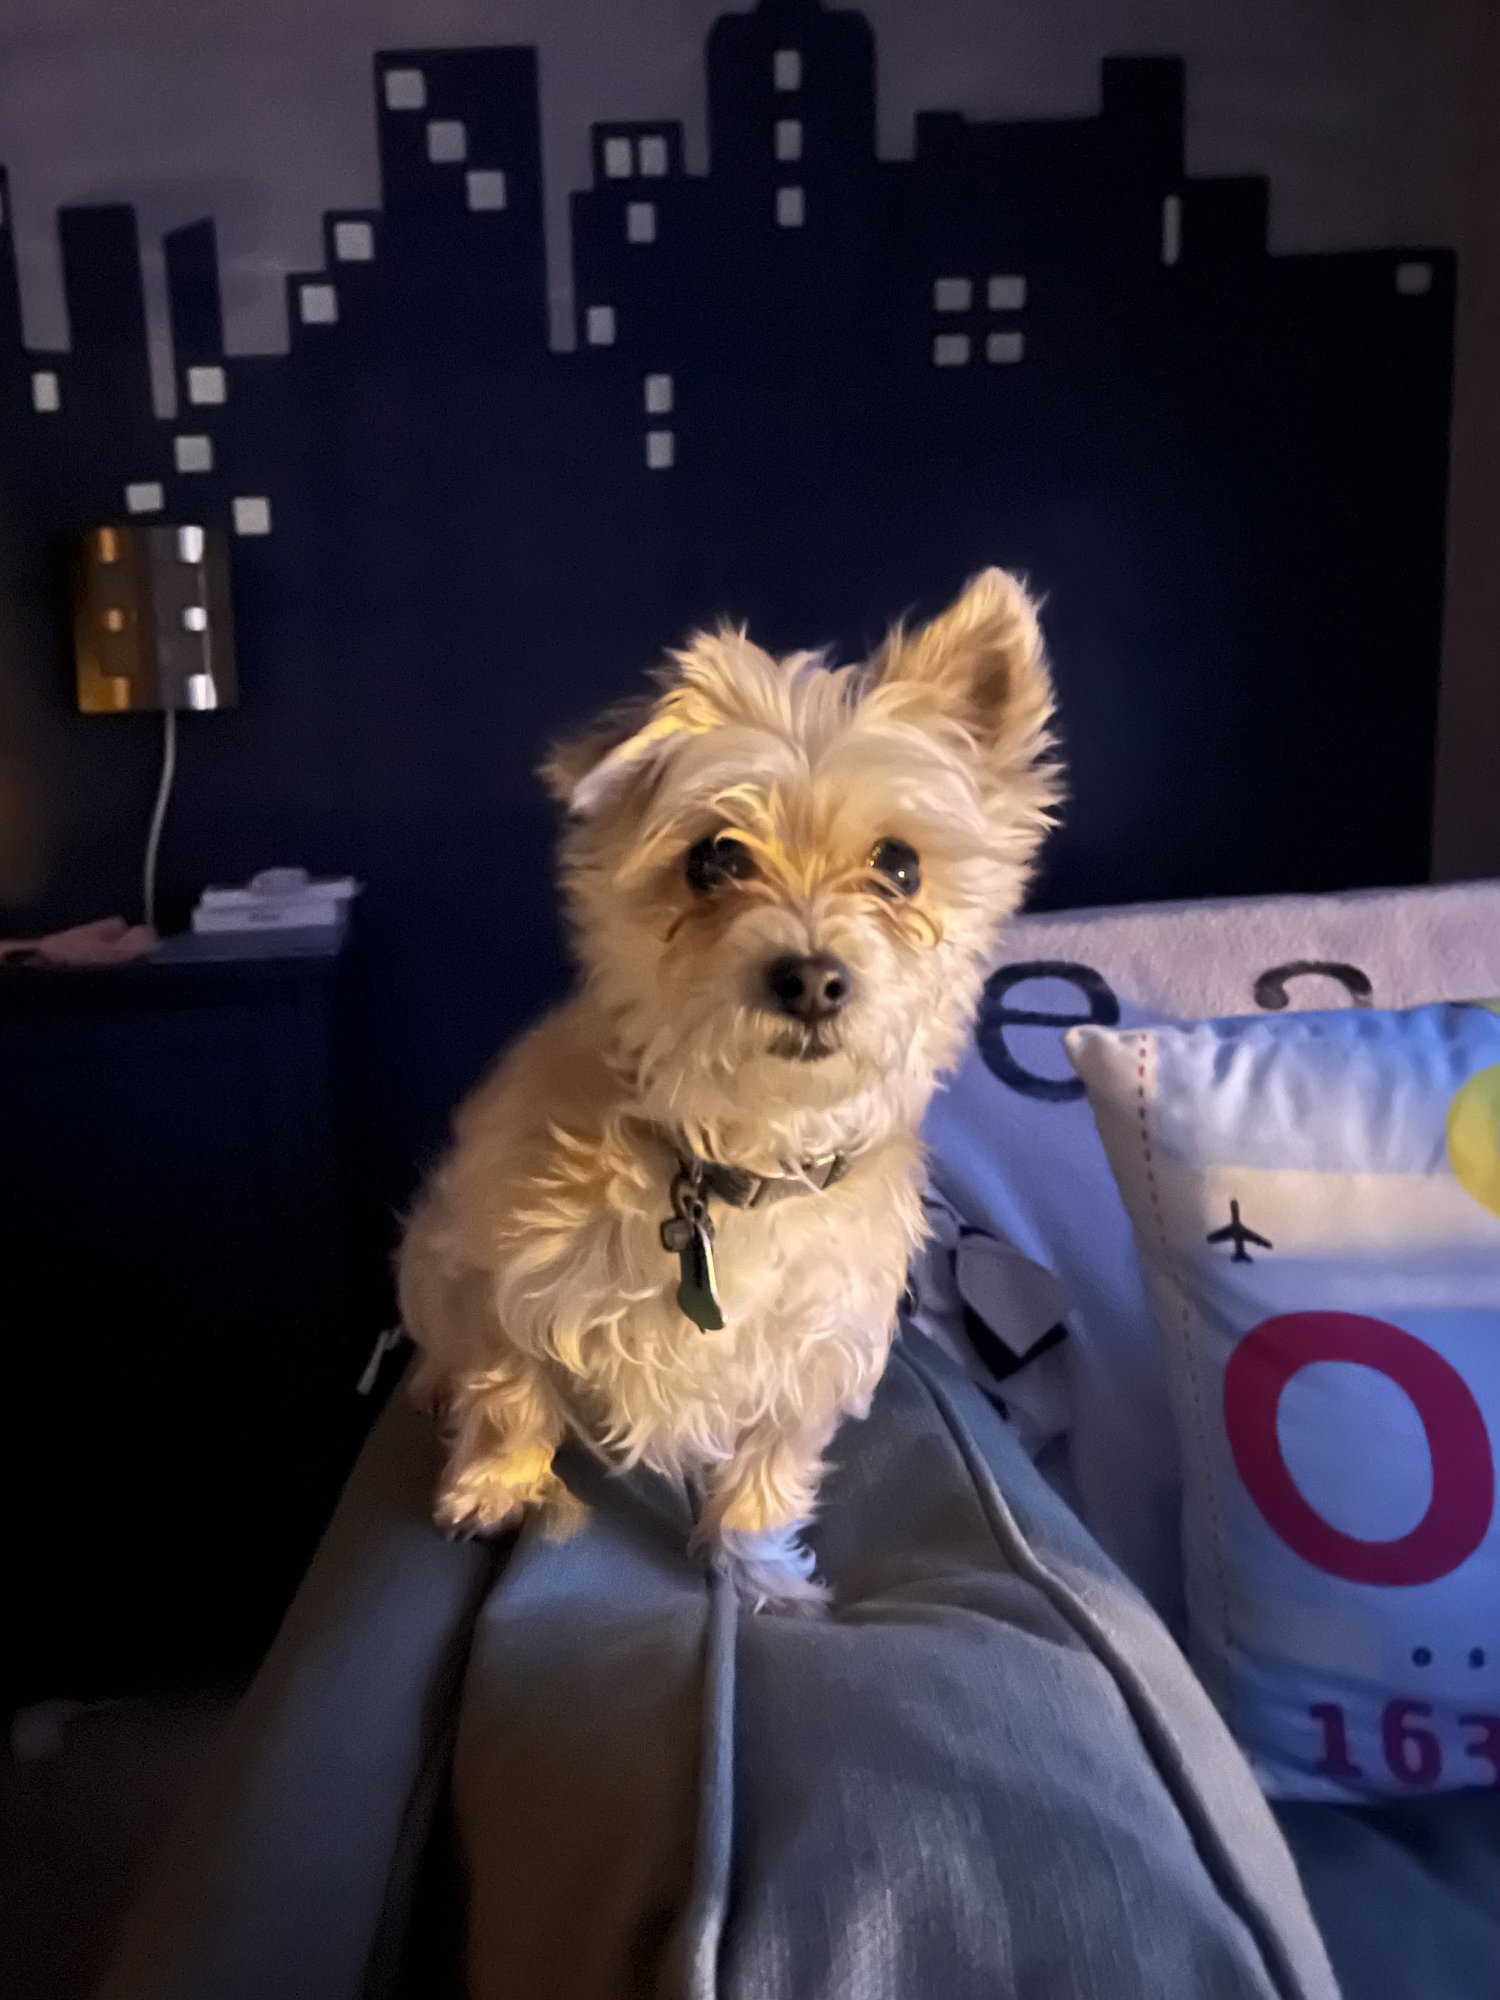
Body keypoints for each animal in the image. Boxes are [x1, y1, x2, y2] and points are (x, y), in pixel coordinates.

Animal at [397, 567, 1059, 1612]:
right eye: (714, 858)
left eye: (900, 865)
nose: (814, 978)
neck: (732, 1156)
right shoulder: (488, 1267)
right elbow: (506, 1389)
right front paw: (496, 1487)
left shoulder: (815, 1356)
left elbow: (770, 1472)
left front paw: (758, 1574)